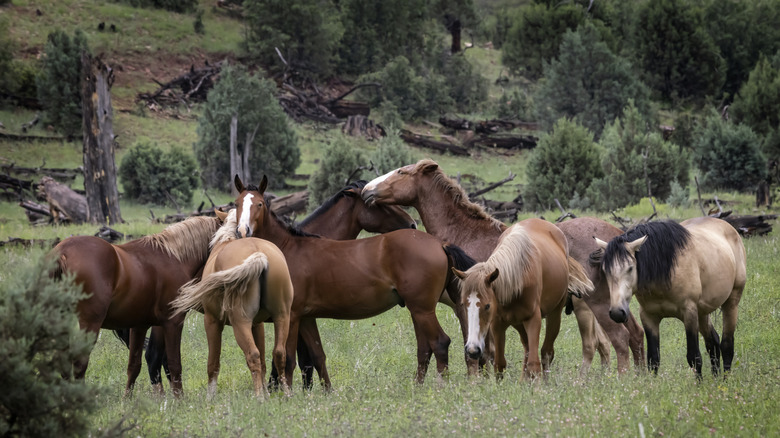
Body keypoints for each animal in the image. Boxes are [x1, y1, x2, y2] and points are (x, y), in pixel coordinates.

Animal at [49, 216, 221, 396]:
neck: (175, 258)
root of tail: (62, 252)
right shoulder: (173, 322)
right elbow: (174, 365)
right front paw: (179, 399)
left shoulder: (140, 325)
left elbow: (134, 366)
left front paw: (127, 399)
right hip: (90, 324)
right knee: (79, 363)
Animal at [171, 209, 294, 397]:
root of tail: (259, 255)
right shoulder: (257, 325)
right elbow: (264, 363)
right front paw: (267, 393)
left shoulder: (212, 322)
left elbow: (213, 363)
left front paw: (210, 397)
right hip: (282, 317)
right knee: (279, 353)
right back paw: (285, 394)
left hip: (240, 324)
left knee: (252, 355)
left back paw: (259, 398)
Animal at [233, 175, 457, 388]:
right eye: (236, 204)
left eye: (260, 204)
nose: (243, 231)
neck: (286, 250)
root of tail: (440, 244)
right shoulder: (306, 318)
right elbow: (316, 356)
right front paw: (326, 393)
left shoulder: (292, 317)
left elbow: (287, 359)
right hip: (418, 310)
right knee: (425, 349)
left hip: (422, 310)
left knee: (440, 343)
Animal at [451, 220, 593, 379]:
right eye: (464, 304)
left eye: (487, 306)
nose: (472, 349)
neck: (517, 277)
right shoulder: (498, 324)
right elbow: (499, 364)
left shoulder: (533, 320)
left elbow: (534, 364)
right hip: (518, 322)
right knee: (527, 349)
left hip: (554, 315)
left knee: (546, 353)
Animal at [594, 217, 746, 378]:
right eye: (605, 270)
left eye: (630, 268)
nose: (617, 312)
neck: (665, 272)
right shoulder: (649, 317)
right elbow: (653, 359)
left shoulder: (689, 314)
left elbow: (694, 357)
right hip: (702, 312)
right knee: (713, 342)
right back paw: (716, 378)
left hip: (731, 303)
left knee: (727, 346)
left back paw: (725, 381)